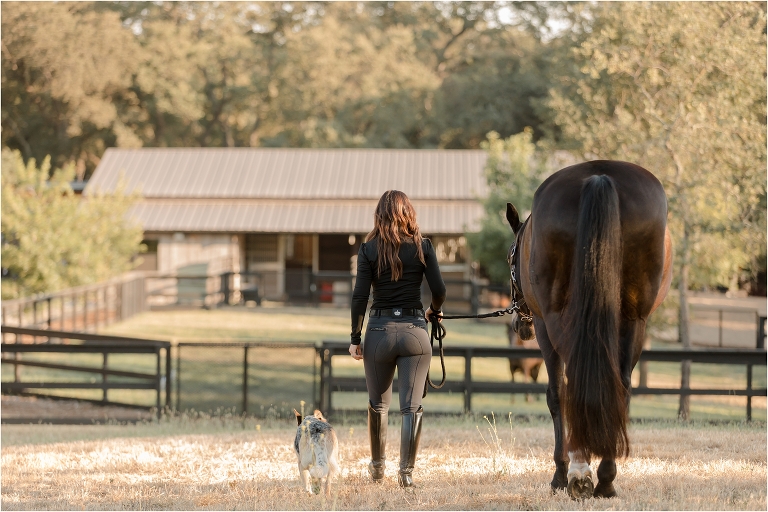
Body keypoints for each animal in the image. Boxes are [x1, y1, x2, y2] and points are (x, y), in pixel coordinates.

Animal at [505, 160, 673, 500]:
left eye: (510, 258)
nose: (519, 325)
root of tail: (600, 176)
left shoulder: (545, 328)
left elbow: (556, 394)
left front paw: (563, 473)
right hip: (634, 321)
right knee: (620, 386)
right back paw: (606, 479)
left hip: (557, 321)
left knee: (569, 388)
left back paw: (578, 472)